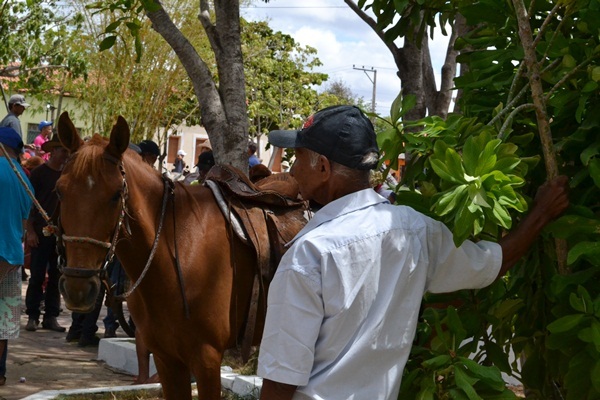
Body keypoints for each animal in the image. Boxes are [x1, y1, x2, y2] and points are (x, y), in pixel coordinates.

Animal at [53, 113, 300, 400]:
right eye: (60, 191)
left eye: (116, 194)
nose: (78, 288)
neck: (175, 251)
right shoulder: (166, 358)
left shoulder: (206, 359)